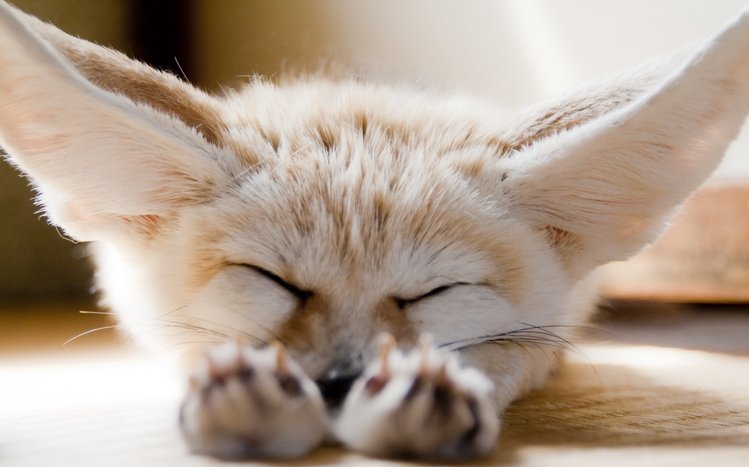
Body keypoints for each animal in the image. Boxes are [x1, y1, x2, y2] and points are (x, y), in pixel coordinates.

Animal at [2, 1, 749, 461]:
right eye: (271, 280)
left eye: (434, 292)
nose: (339, 382)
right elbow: (192, 344)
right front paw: (246, 396)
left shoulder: (552, 330)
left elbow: (505, 353)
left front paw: (427, 394)